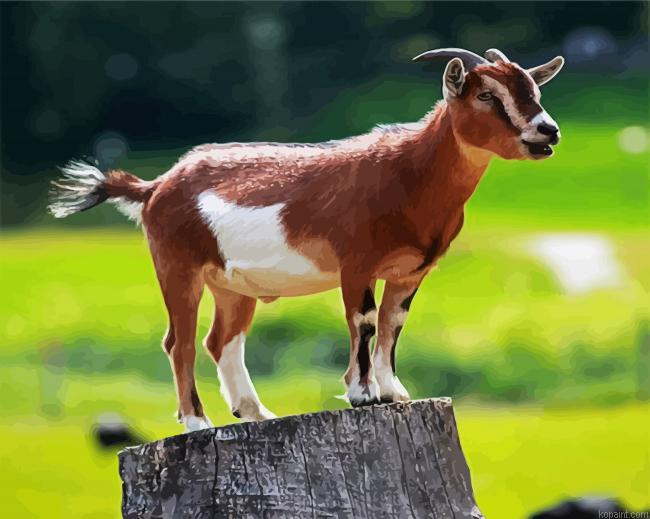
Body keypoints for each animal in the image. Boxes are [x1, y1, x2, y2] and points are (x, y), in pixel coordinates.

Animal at [49, 47, 564, 431]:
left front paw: (394, 392)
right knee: (181, 342)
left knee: (221, 340)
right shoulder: (356, 262)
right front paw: (362, 395)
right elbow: (364, 321)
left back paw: (256, 412)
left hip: (231, 285)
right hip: (177, 265)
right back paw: (198, 422)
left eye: (534, 90)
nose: (548, 131)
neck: (408, 172)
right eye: (486, 95)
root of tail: (155, 186)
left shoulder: (411, 271)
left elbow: (393, 324)